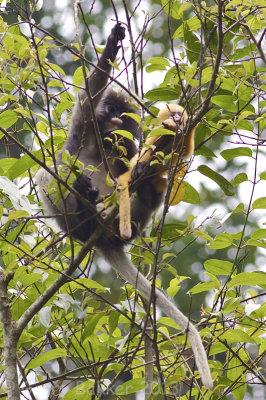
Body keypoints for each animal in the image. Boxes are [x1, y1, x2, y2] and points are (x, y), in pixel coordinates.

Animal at [35, 23, 214, 390]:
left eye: (124, 116)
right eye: (112, 112)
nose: (118, 122)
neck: (104, 146)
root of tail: (106, 239)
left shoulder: (130, 150)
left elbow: (152, 161)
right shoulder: (83, 127)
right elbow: (87, 99)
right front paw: (111, 44)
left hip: (127, 220)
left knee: (148, 190)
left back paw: (135, 206)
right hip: (72, 219)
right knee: (52, 173)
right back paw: (84, 209)